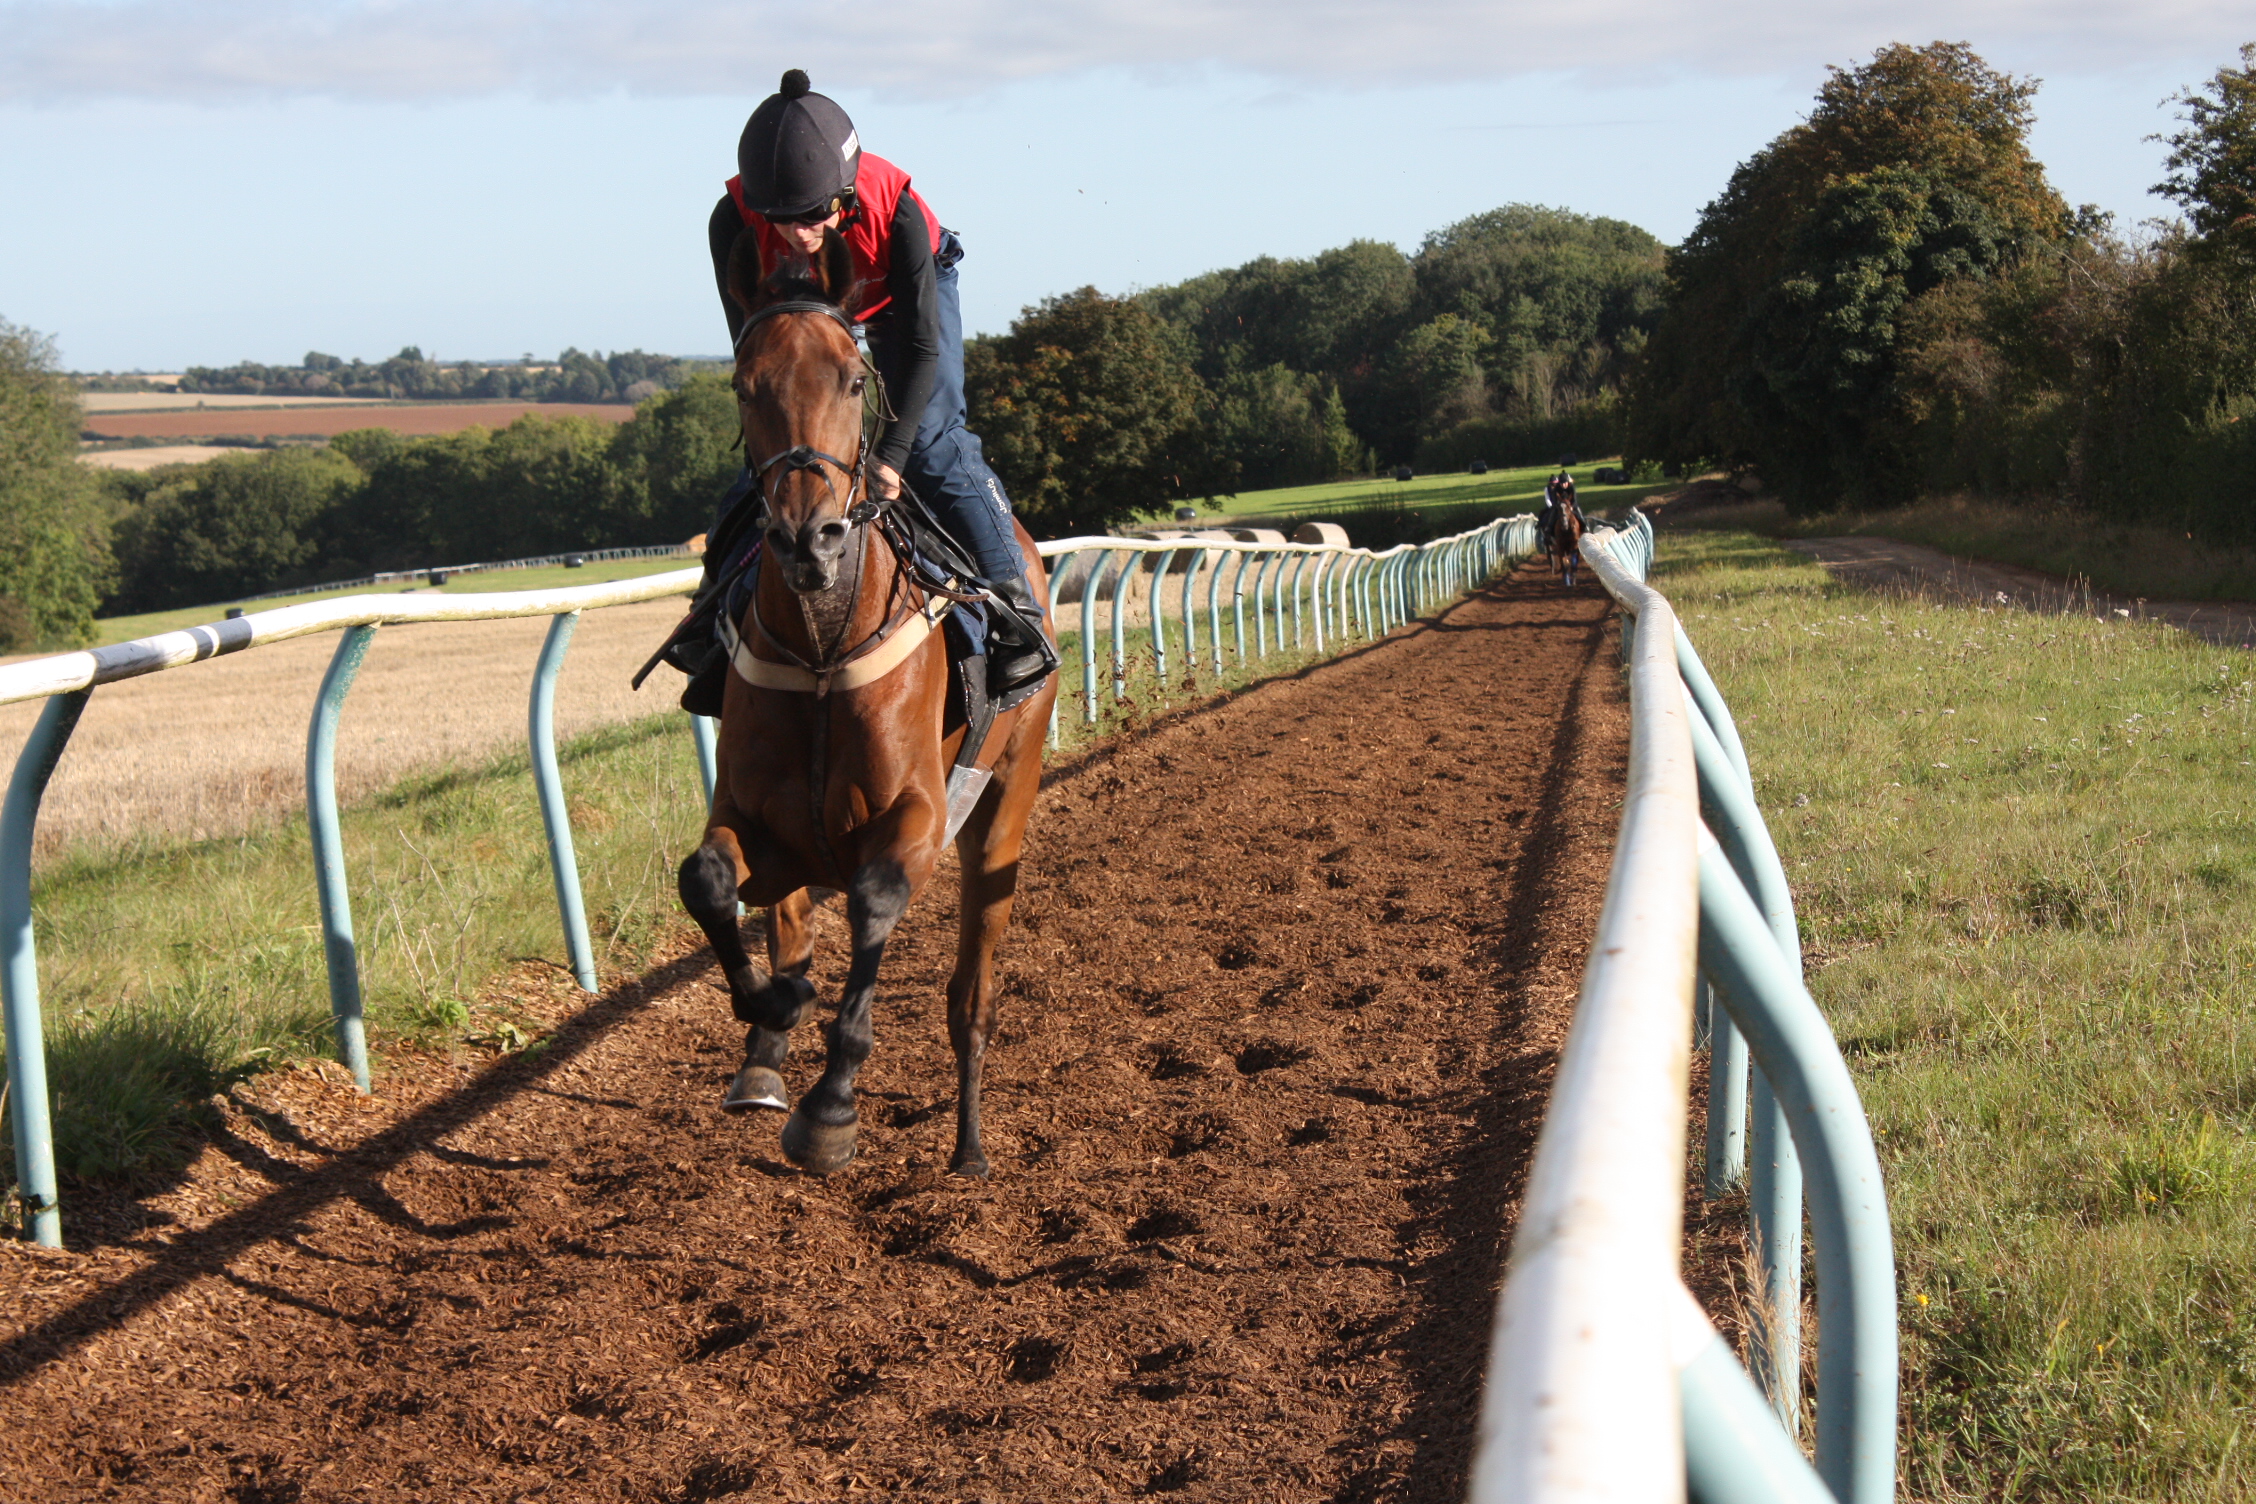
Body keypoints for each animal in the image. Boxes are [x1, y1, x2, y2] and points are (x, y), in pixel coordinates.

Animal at [676, 229, 1055, 1181]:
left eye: (853, 379)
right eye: (743, 384)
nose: (808, 539)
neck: (819, 649)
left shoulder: (919, 816)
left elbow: (876, 900)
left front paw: (832, 1107)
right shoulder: (759, 823)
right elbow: (707, 882)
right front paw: (777, 1010)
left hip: (1007, 798)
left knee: (971, 996)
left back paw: (969, 1146)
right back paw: (766, 1061)